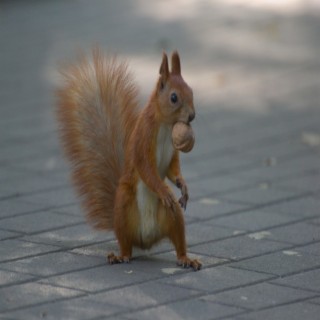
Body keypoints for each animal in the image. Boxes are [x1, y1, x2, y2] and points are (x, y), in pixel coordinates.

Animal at [56, 48, 201, 270]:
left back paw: (186, 258)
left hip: (173, 215)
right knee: (126, 246)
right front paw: (163, 190)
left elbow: (172, 169)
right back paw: (120, 256)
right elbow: (146, 168)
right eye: (174, 97)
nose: (192, 116)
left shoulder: (172, 151)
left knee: (178, 239)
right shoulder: (143, 138)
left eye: (191, 91)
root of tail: (145, 239)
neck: (166, 125)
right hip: (124, 206)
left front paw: (182, 185)